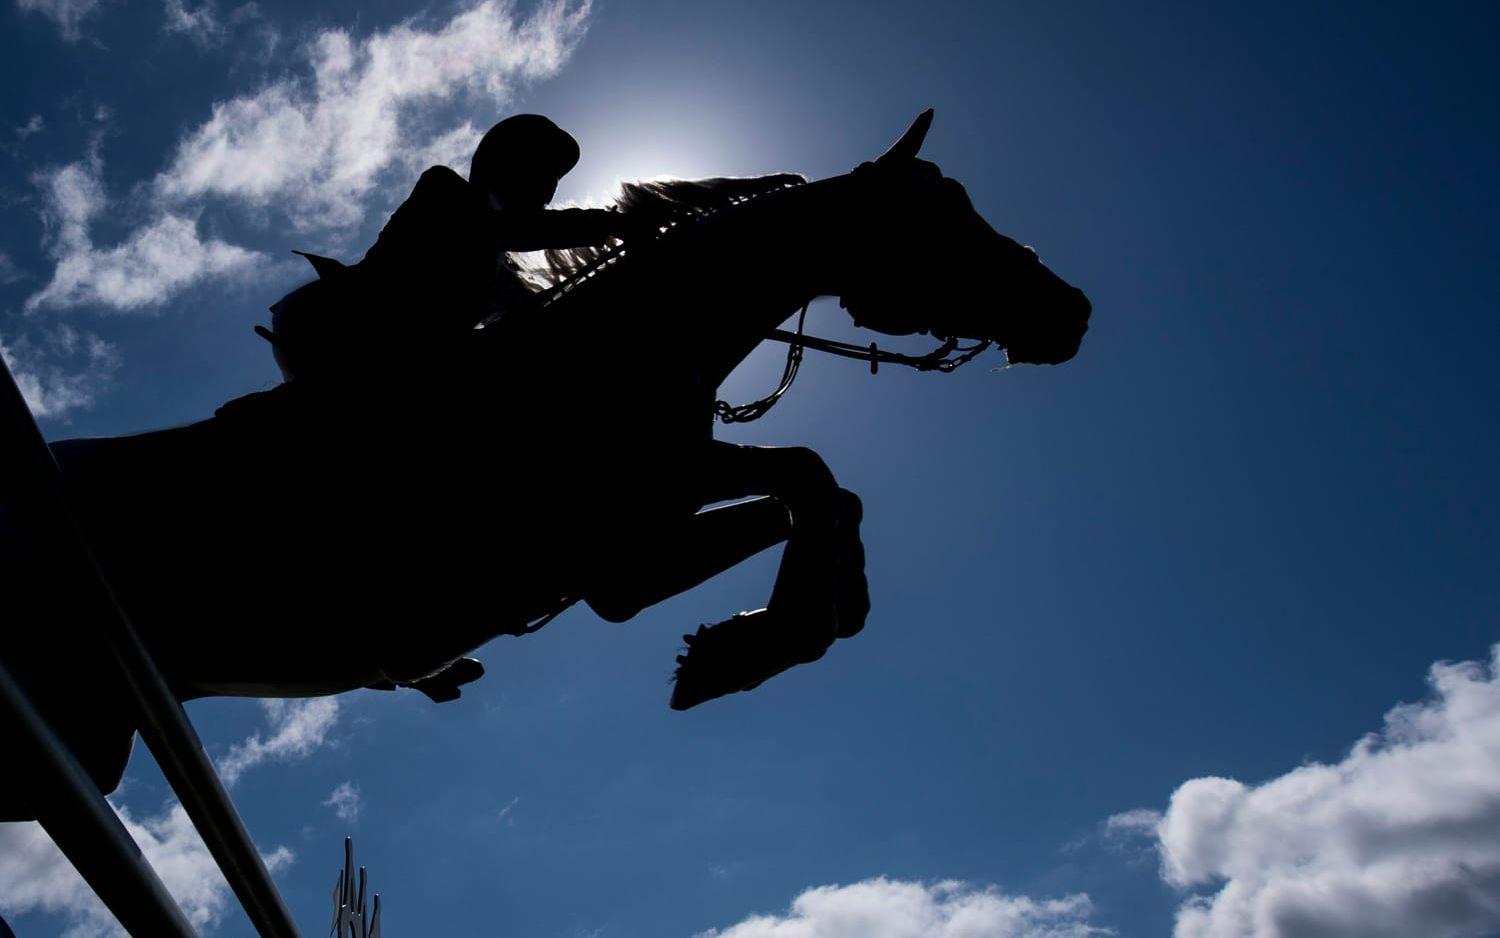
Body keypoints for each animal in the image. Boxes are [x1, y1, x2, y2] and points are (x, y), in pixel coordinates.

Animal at [0, 111, 1086, 810]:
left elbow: (819, 487)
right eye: (937, 216)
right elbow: (811, 476)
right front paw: (752, 646)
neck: (609, 353)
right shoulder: (626, 538)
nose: (1072, 312)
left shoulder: (633, 556)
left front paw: (776, 629)